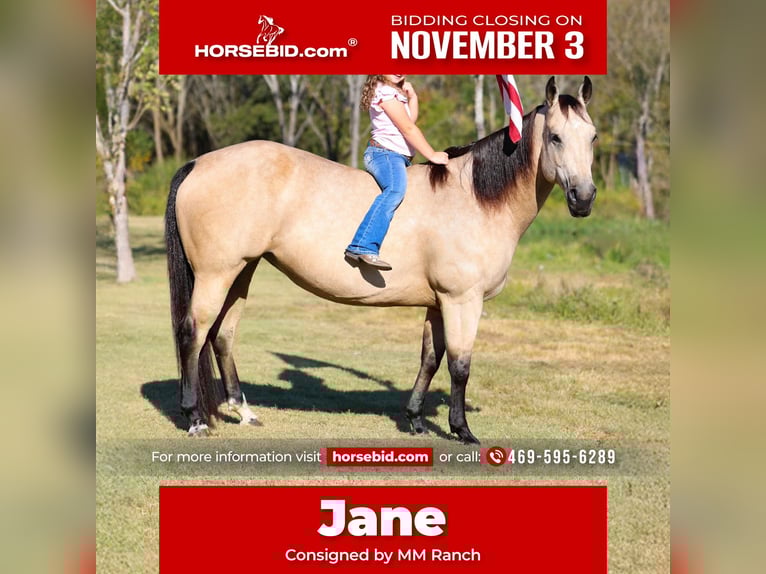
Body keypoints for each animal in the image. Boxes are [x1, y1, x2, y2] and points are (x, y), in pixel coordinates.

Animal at [164, 76, 598, 444]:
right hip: (216, 274)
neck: (474, 198)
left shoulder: (438, 303)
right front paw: (461, 430)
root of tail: (197, 163)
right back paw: (195, 418)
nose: (584, 198)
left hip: (242, 270)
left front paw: (416, 420)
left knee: (223, 336)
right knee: (192, 332)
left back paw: (244, 412)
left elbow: (430, 358)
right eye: (555, 137)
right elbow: (460, 365)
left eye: (592, 137)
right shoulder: (462, 300)